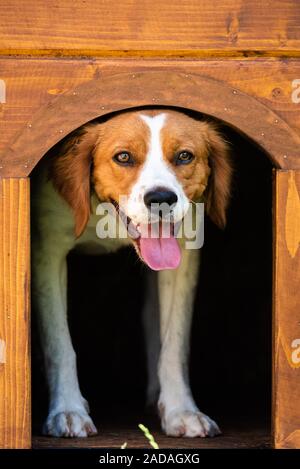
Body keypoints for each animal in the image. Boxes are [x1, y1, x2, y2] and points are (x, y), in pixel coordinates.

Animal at [31, 109, 232, 438]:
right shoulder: (48, 250)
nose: (161, 197)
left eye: (184, 156)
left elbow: (174, 345)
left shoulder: (184, 255)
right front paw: (68, 411)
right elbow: (60, 345)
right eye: (123, 157)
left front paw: (181, 410)